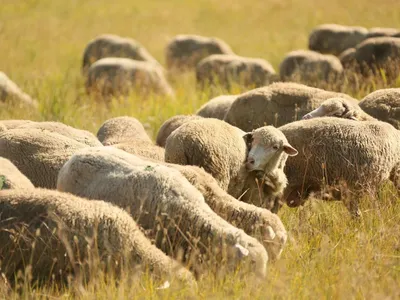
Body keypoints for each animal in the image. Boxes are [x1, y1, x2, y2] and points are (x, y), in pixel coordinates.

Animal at [164, 118, 298, 207]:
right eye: (253, 140)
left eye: (275, 147)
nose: (250, 161)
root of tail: (184, 142)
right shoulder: (252, 193)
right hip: (217, 174)